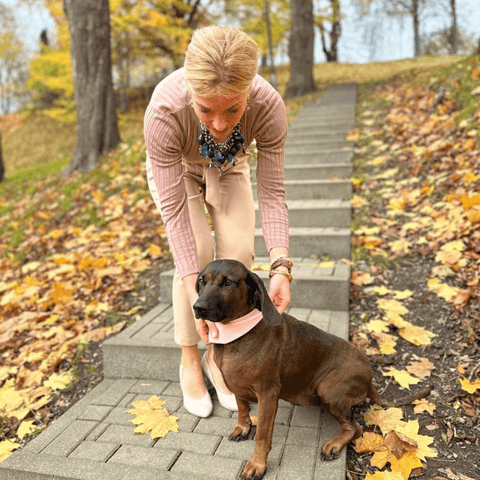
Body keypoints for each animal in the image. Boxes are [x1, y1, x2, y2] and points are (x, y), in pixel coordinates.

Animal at [192, 258, 382, 480]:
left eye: (228, 282)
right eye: (202, 281)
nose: (198, 307)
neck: (237, 335)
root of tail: (369, 377)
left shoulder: (267, 395)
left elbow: (263, 436)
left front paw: (257, 464)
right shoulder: (235, 385)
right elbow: (242, 409)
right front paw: (243, 427)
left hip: (328, 390)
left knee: (355, 429)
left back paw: (334, 445)